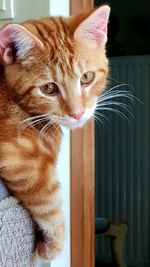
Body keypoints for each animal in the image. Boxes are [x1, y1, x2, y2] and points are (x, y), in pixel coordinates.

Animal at [0, 5, 109, 262]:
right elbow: (50, 202)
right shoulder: (19, 157)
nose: (77, 114)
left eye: (87, 77)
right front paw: (52, 248)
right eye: (48, 88)